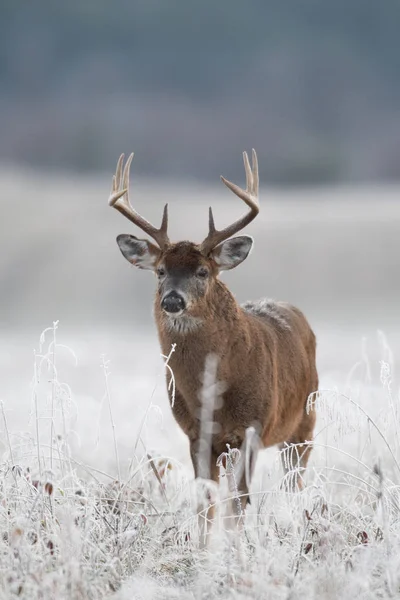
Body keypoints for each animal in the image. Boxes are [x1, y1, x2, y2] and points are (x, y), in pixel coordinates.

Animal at [107, 149, 318, 536]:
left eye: (203, 272)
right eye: (160, 271)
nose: (172, 300)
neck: (214, 390)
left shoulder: (251, 428)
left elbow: (239, 503)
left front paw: (235, 547)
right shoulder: (196, 433)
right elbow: (205, 503)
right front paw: (204, 547)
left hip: (305, 421)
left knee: (293, 482)